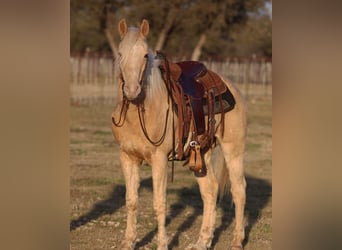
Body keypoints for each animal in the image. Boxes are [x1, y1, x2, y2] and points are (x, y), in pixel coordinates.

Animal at [111, 19, 247, 250]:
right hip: (202, 154)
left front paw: (162, 245)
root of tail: (230, 86)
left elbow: (159, 204)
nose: (131, 89)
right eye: (120, 53)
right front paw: (129, 242)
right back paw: (202, 241)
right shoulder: (127, 157)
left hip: (233, 150)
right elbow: (131, 201)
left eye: (145, 55)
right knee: (210, 191)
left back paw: (237, 241)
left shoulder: (159, 159)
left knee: (238, 190)